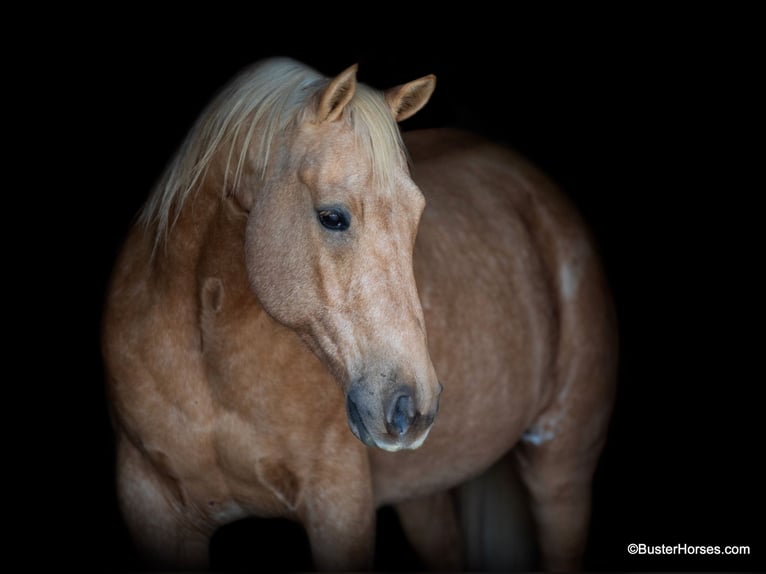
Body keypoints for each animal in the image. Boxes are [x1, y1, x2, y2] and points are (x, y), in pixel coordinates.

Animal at [102, 57, 617, 571]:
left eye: (417, 215)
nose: (414, 406)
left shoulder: (339, 505)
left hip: (561, 473)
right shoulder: (152, 505)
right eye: (332, 217)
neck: (208, 363)